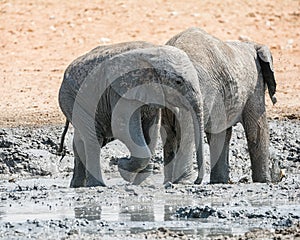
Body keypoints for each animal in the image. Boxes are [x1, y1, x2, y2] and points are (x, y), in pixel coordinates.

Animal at [58, 41, 204, 188]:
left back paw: (77, 185)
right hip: (71, 99)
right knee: (93, 139)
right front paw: (122, 166)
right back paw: (97, 185)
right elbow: (122, 128)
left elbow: (152, 130)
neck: (152, 51)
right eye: (178, 82)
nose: (197, 181)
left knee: (81, 140)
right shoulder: (120, 91)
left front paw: (142, 183)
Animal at [165, 26, 280, 184]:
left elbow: (222, 133)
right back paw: (184, 181)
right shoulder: (254, 85)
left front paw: (219, 181)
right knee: (188, 133)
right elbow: (257, 130)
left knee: (168, 133)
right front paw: (264, 181)